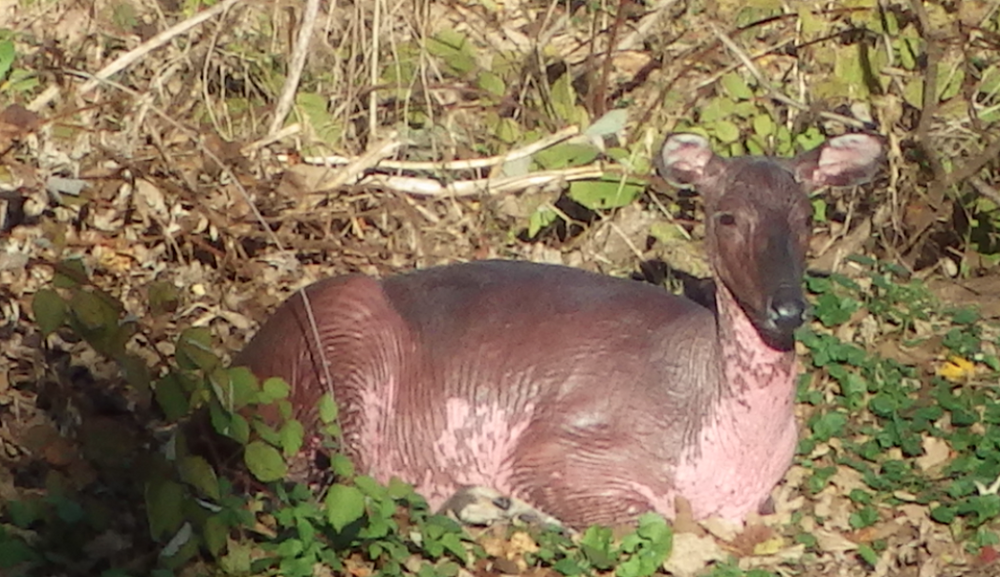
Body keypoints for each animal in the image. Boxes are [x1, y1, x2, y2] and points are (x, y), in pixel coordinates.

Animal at [236, 133, 884, 528]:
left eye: (807, 217)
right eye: (726, 217)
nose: (787, 308)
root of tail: (239, 366)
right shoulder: (560, 442)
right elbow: (650, 521)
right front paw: (526, 508)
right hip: (342, 338)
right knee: (346, 478)